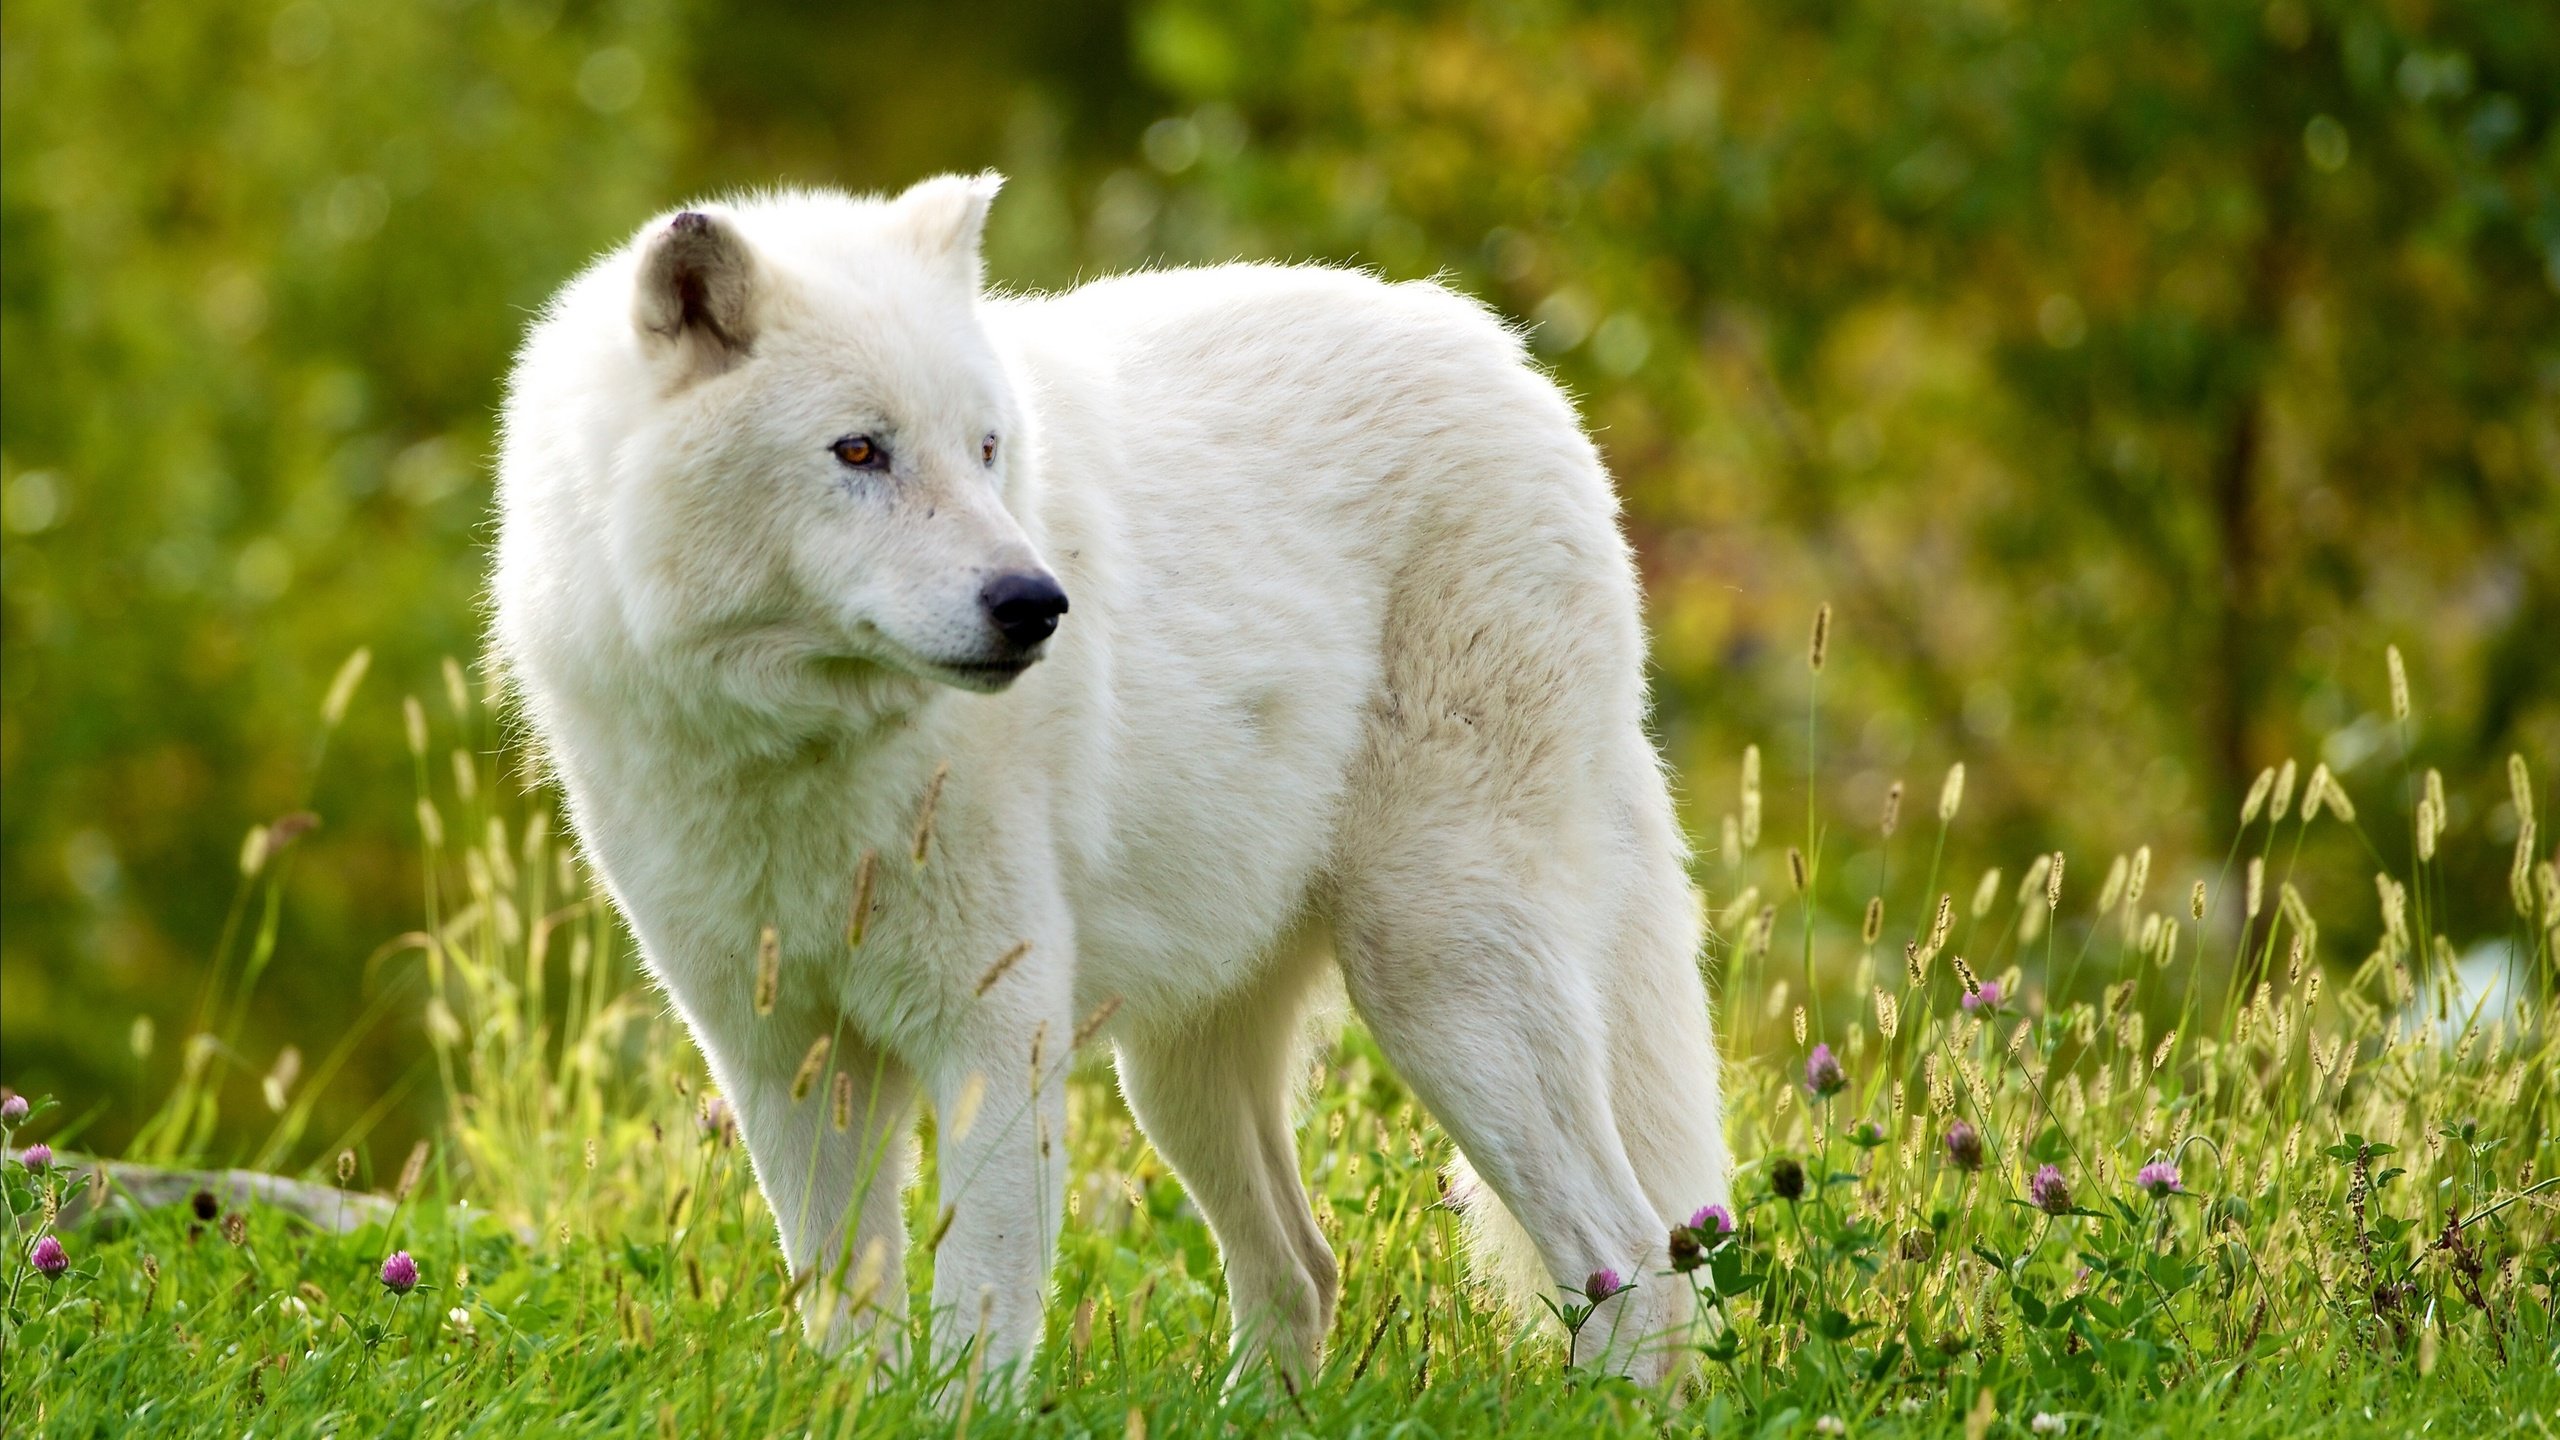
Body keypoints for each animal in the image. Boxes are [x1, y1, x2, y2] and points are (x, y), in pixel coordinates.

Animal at [488, 174, 1730, 1383]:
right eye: (859, 451)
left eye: (987, 447)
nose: (1035, 604)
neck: (798, 755)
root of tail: (1516, 368)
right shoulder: (783, 1059)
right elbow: (847, 1325)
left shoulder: (995, 1037)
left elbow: (974, 1337)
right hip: (1178, 1067)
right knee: (1304, 1271)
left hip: (1437, 980)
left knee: (1633, 1259)